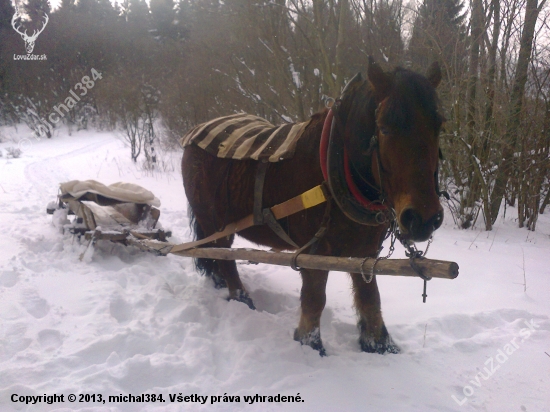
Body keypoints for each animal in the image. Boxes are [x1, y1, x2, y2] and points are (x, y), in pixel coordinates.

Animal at [183, 59, 446, 356]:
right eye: (385, 127)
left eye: (439, 125)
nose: (423, 218)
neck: (338, 164)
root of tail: (196, 132)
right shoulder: (313, 252)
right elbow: (315, 298)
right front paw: (309, 344)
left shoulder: (364, 252)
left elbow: (370, 297)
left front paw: (379, 343)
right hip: (214, 222)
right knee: (223, 256)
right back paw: (240, 297)